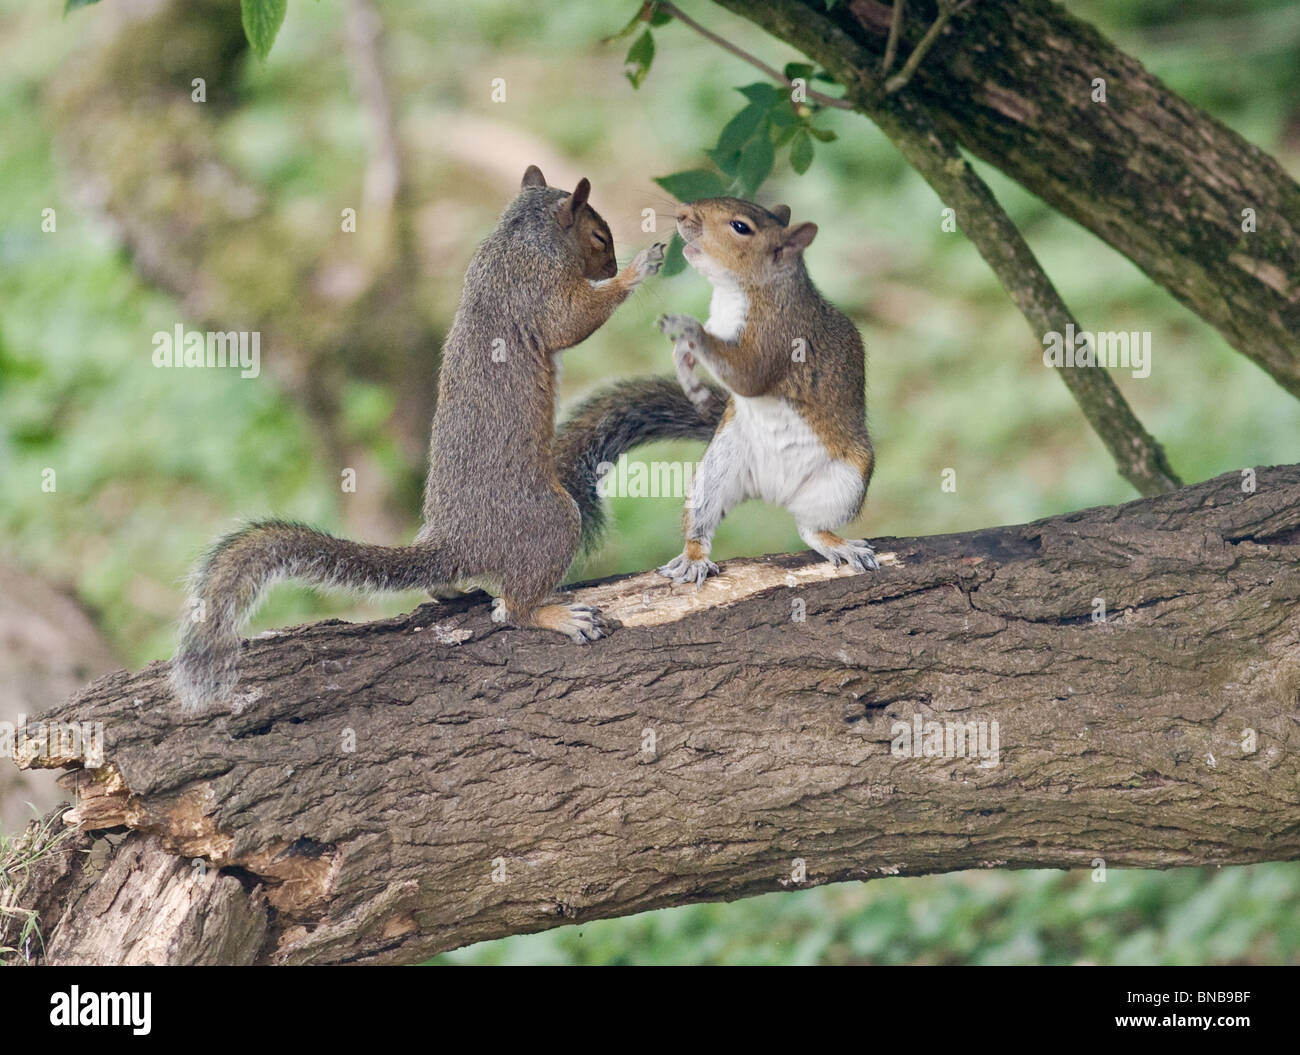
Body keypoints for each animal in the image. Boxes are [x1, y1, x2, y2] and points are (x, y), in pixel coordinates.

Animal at [172, 166, 723, 712]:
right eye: (599, 237)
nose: (609, 261)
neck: (516, 241)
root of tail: (457, 541)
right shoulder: (537, 292)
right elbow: (573, 321)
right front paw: (637, 269)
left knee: (450, 585)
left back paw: (454, 590)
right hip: (552, 520)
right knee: (514, 608)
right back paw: (555, 616)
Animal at [655, 196, 877, 585]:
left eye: (740, 227)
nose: (681, 214)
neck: (736, 291)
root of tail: (774, 492)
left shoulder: (780, 337)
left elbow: (747, 375)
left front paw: (688, 329)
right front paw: (686, 369)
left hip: (847, 480)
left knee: (811, 527)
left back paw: (840, 545)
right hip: (718, 466)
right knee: (701, 522)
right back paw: (694, 558)